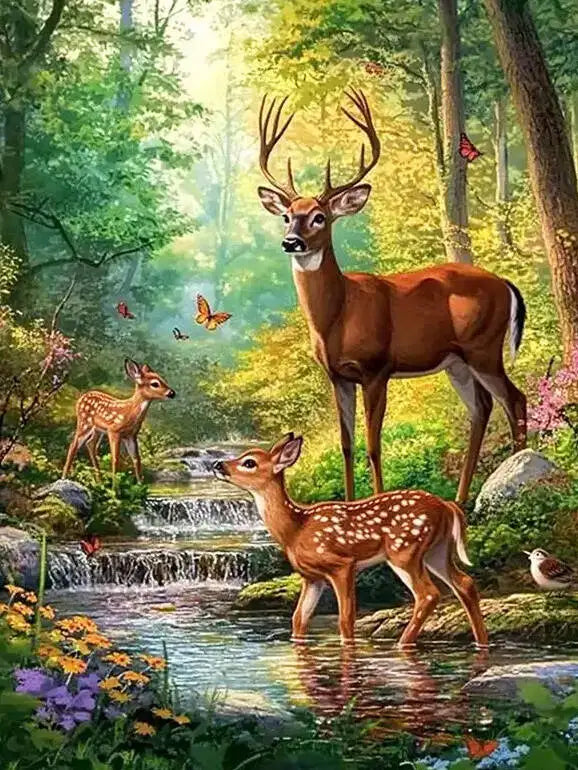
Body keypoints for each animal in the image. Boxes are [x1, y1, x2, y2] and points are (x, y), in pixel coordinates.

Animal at [213, 433, 488, 648]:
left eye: (249, 462)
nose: (218, 464)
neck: (296, 529)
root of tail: (446, 505)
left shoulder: (341, 564)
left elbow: (345, 619)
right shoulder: (312, 577)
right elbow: (299, 618)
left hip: (405, 550)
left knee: (428, 594)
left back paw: (402, 645)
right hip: (436, 551)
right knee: (465, 583)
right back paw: (481, 642)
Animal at [257, 89, 527, 504]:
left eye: (320, 217)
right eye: (287, 216)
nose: (291, 242)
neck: (337, 316)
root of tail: (506, 284)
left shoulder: (376, 368)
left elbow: (373, 445)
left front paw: (377, 502)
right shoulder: (337, 376)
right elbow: (346, 445)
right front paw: (350, 505)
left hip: (483, 347)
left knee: (514, 400)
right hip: (456, 361)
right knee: (482, 408)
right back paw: (461, 498)